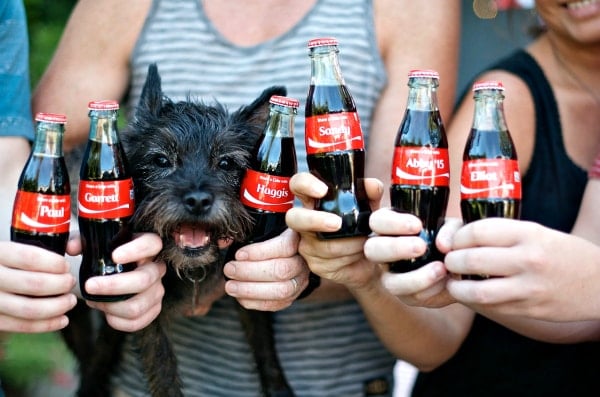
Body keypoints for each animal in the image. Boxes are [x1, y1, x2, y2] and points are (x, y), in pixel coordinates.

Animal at [62, 64, 294, 396]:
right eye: (161, 159)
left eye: (226, 163)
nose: (197, 200)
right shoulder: (144, 309)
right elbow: (162, 369)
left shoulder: (250, 281)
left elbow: (265, 351)